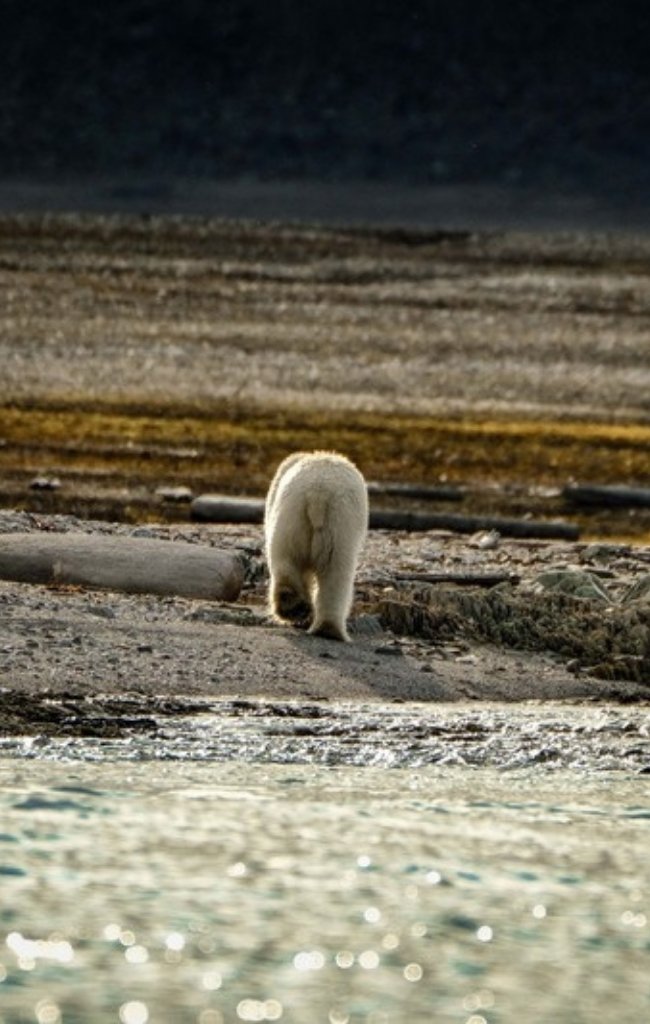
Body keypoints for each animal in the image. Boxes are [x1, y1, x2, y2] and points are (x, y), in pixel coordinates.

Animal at [264, 450, 368, 641]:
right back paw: (326, 627)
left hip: (292, 521)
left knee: (288, 561)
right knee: (336, 573)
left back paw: (299, 610)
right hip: (338, 525)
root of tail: (318, 493)